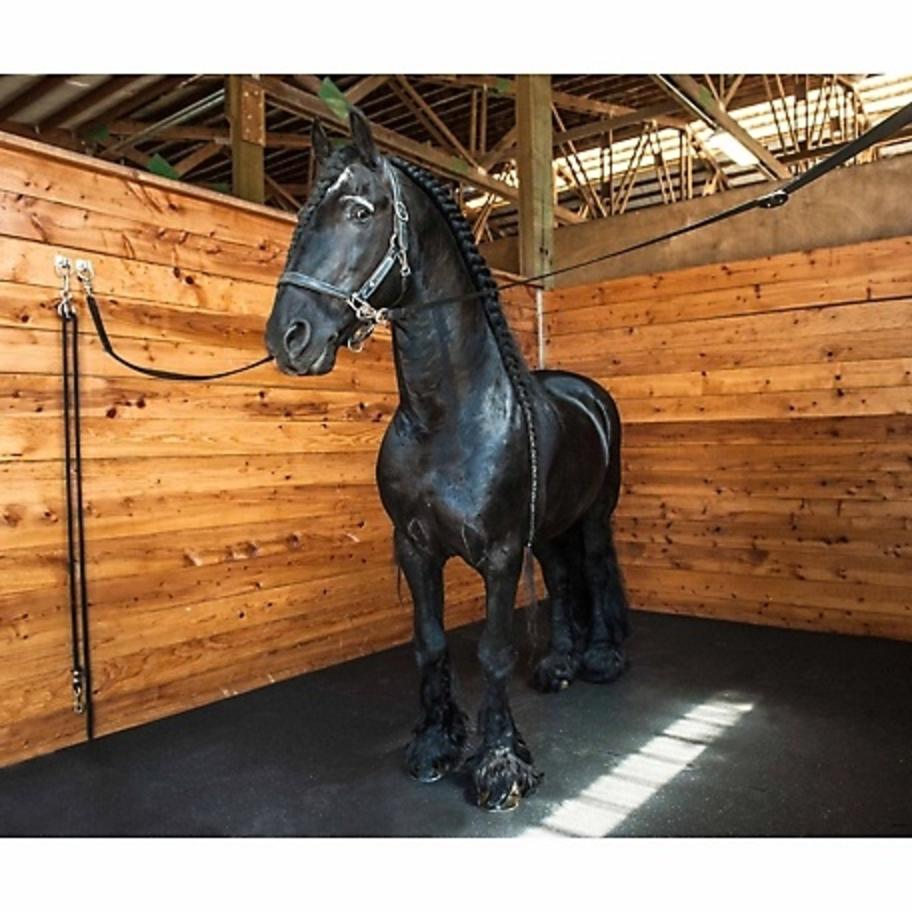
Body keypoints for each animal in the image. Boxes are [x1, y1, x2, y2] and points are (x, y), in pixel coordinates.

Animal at [268, 108, 632, 812]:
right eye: (303, 214)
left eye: (360, 212)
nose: (288, 336)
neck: (446, 420)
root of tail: (587, 393)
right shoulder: (416, 548)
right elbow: (430, 642)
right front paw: (437, 744)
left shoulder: (500, 553)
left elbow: (491, 650)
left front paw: (499, 765)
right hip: (549, 529)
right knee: (564, 577)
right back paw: (559, 665)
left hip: (595, 514)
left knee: (598, 570)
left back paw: (601, 661)